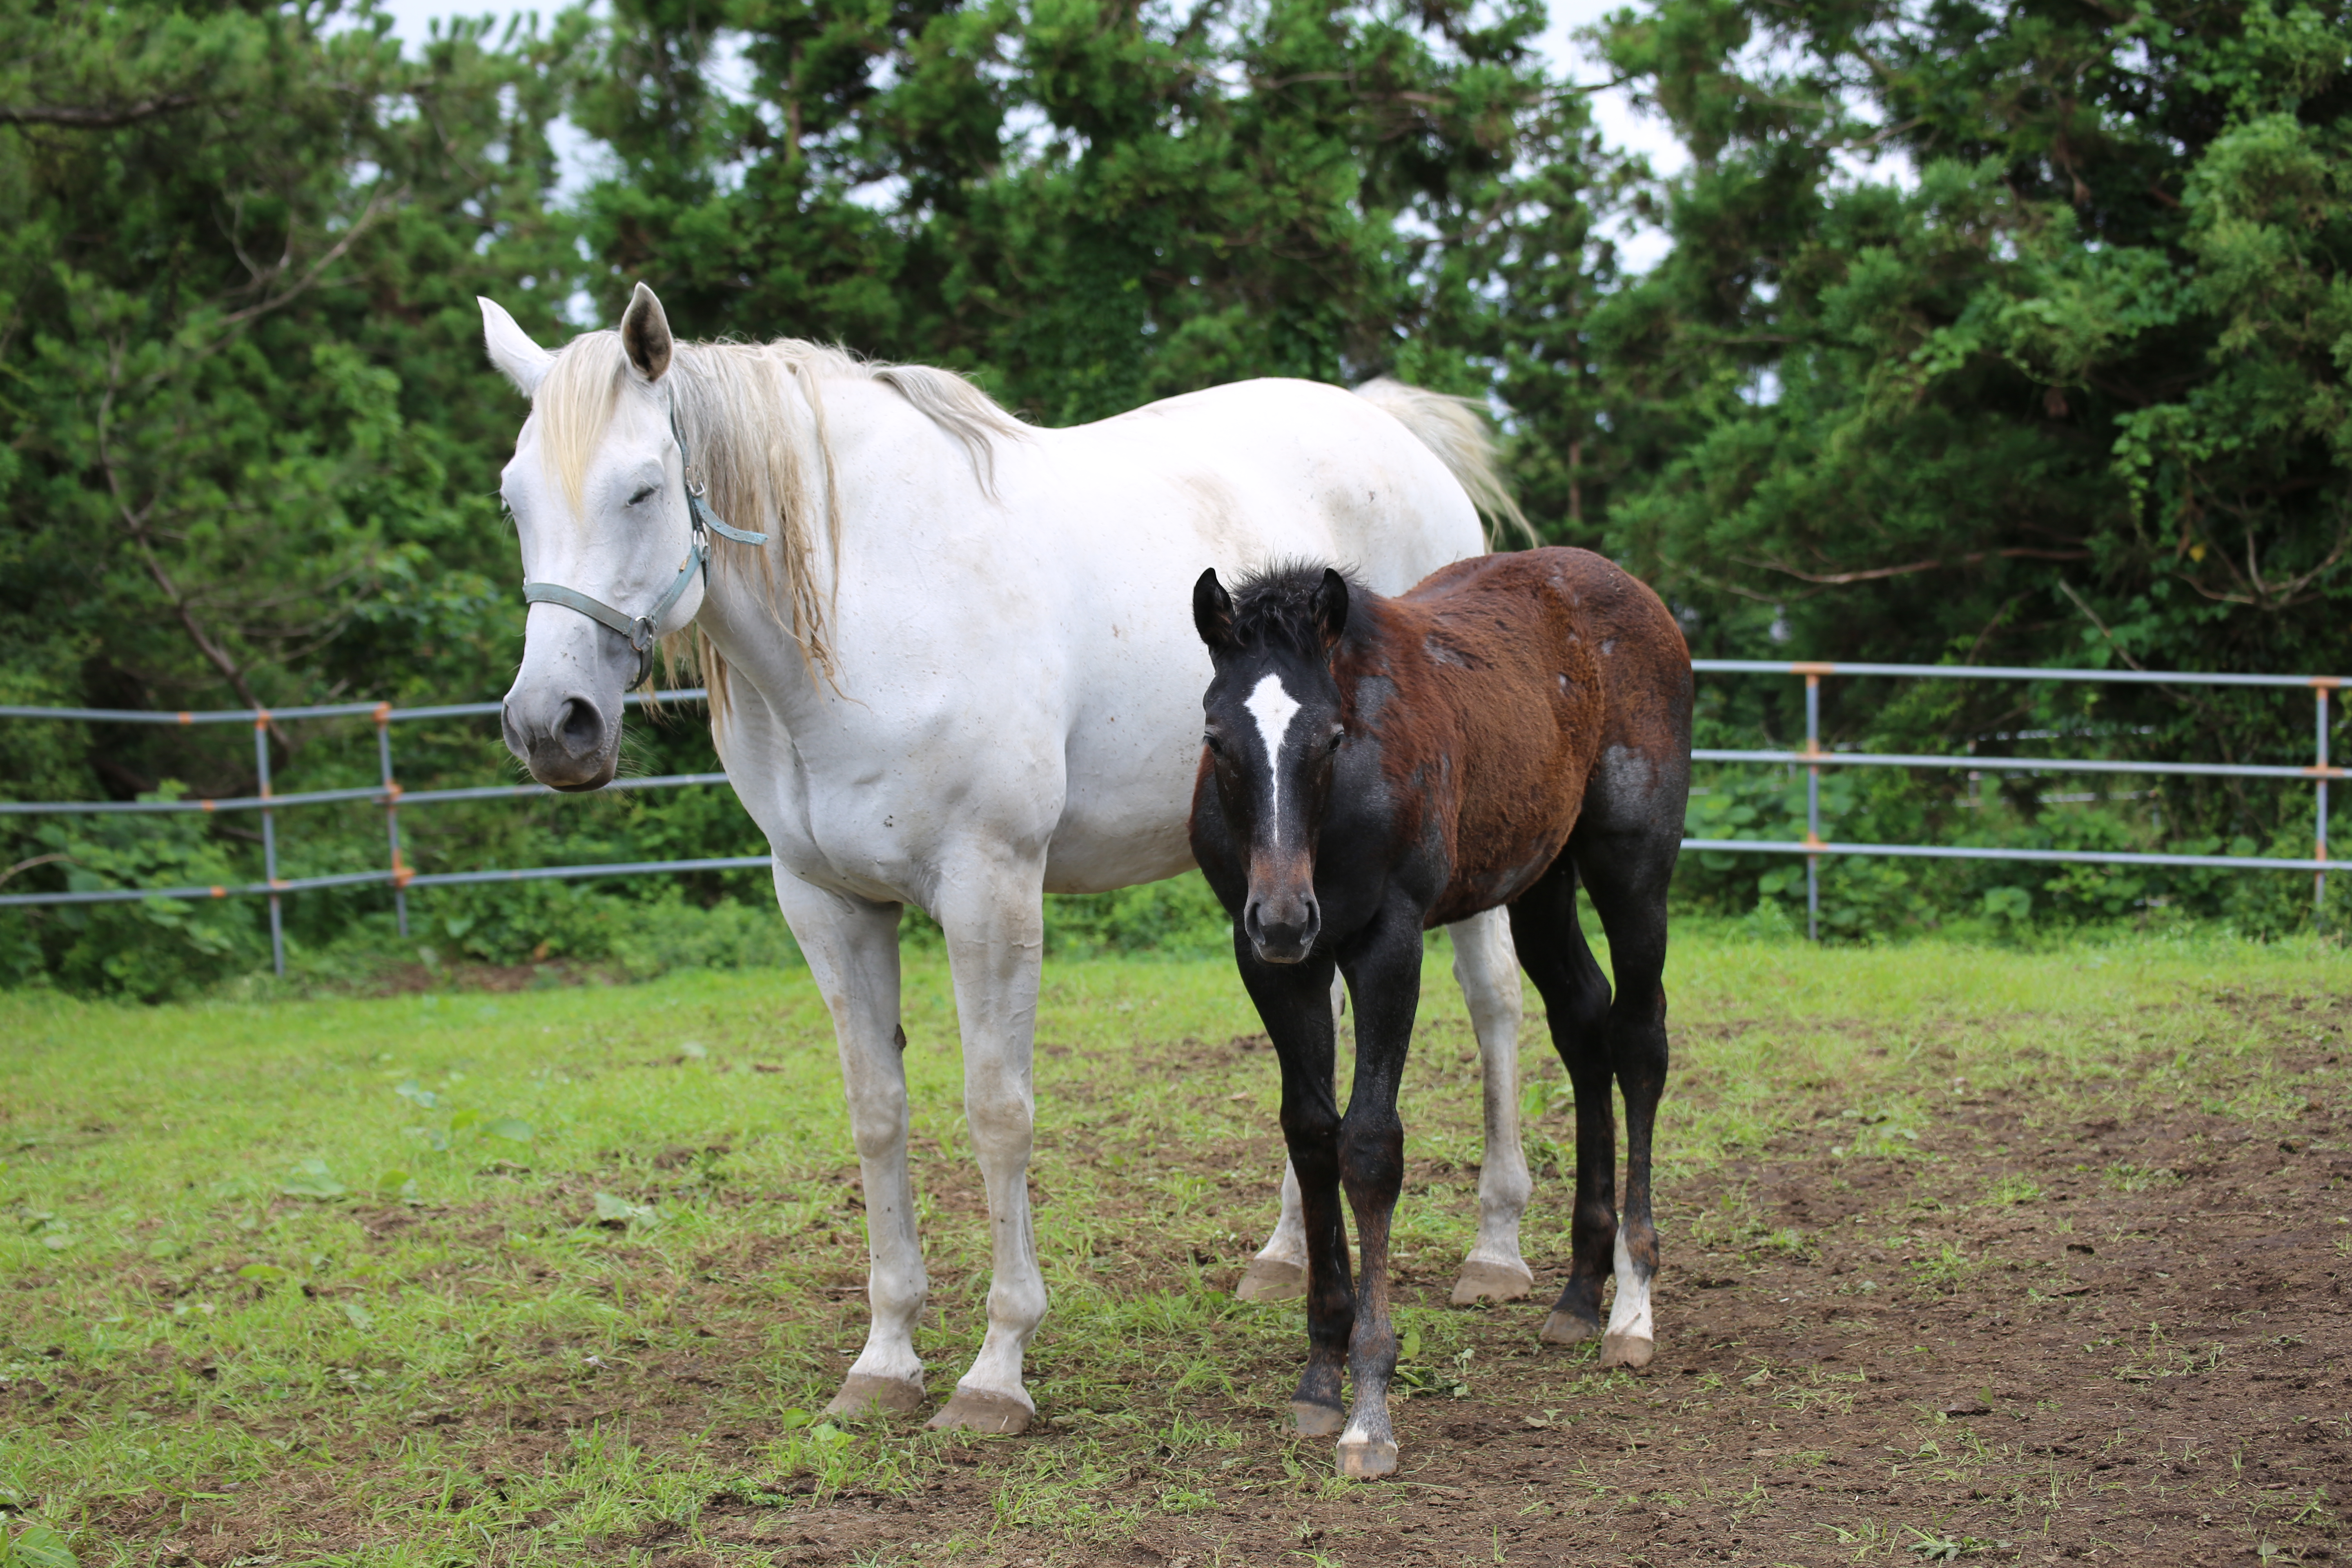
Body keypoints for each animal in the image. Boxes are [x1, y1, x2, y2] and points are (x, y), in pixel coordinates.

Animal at [482, 285, 1543, 1439]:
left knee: (1492, 1002)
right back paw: (1281, 1254)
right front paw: (885, 1357)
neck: (874, 607)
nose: (552, 724)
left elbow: (998, 1113)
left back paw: (1495, 1249)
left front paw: (995, 1370)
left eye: (641, 489)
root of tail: (1394, 433)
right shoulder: (825, 903)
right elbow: (876, 1114)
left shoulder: (990, 890)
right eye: (512, 502)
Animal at [1195, 545, 1693, 1476]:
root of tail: (1628, 589)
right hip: (1541, 877)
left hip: (1633, 862)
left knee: (1641, 1038)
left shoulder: (1390, 941)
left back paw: (1632, 1308)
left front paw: (1369, 1410)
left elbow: (1369, 1146)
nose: (1284, 916)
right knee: (1584, 1024)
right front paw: (1319, 1374)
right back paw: (1579, 1292)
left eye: (1332, 736)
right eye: (1216, 738)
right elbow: (1311, 1134)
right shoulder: (1273, 966)